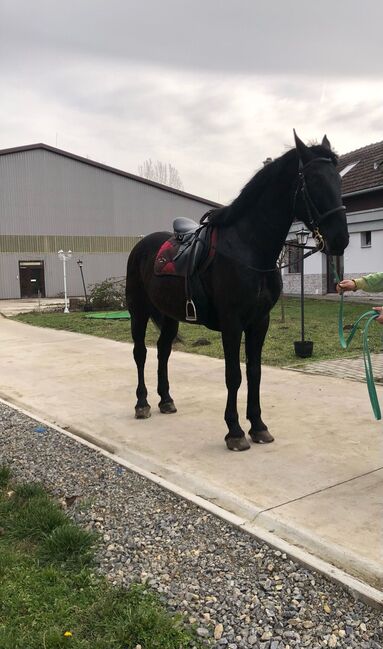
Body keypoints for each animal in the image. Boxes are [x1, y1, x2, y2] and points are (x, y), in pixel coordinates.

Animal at [127, 130, 352, 448]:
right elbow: (233, 374)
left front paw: (257, 426)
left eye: (338, 180)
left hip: (169, 315)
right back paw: (142, 403)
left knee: (163, 351)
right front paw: (234, 431)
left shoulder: (260, 322)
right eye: (314, 181)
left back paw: (166, 400)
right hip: (138, 311)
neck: (249, 248)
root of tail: (142, 246)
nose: (340, 238)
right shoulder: (232, 323)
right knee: (140, 353)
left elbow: (254, 372)